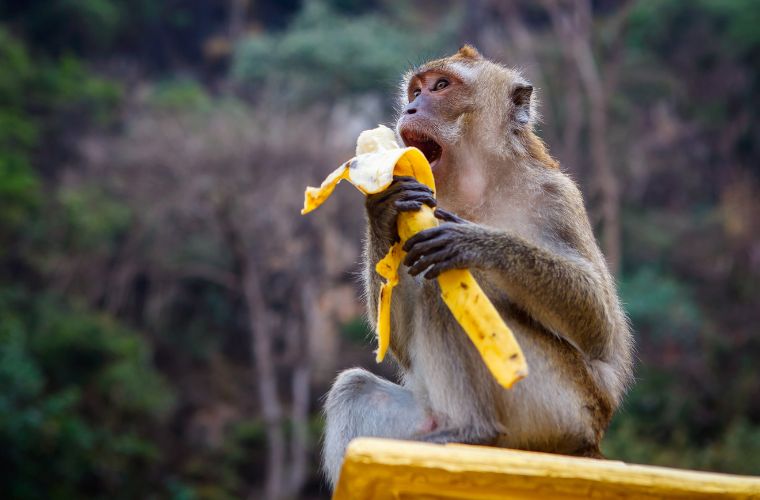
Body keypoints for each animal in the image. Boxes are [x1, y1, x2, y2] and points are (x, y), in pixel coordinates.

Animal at [322, 47, 636, 488]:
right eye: (416, 91)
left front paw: (474, 242)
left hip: (557, 407)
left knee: (443, 290)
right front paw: (383, 204)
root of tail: (587, 445)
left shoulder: (556, 197)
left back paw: (474, 429)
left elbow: (601, 331)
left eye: (441, 87)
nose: (410, 108)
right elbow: (396, 340)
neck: (477, 183)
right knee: (355, 387)